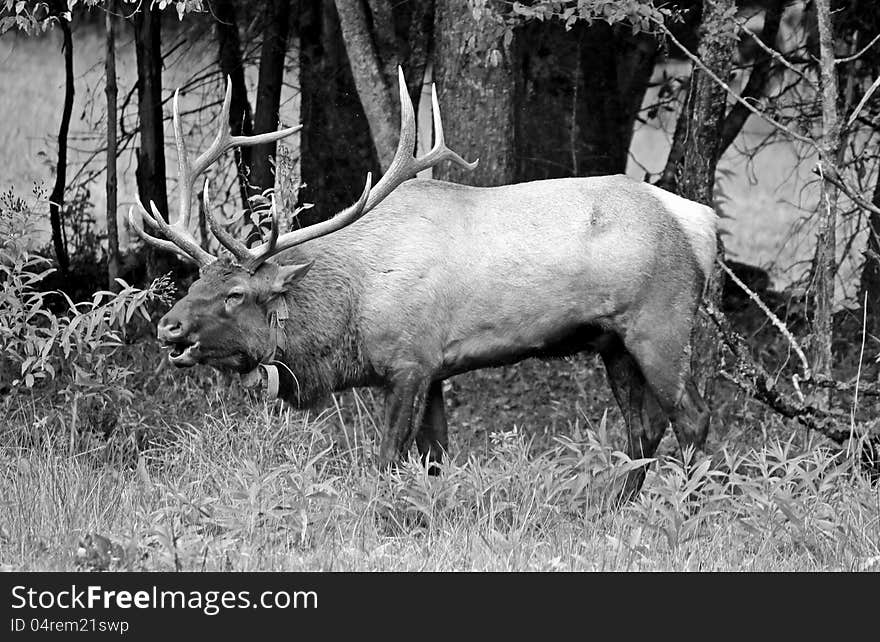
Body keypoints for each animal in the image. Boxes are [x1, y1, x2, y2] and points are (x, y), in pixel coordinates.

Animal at [134, 67, 720, 498]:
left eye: (236, 294)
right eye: (197, 280)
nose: (167, 327)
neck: (351, 316)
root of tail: (703, 223)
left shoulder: (408, 362)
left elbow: (388, 460)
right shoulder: (436, 367)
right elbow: (435, 457)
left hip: (660, 323)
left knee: (692, 418)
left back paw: (685, 509)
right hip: (612, 341)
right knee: (643, 427)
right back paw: (612, 506)